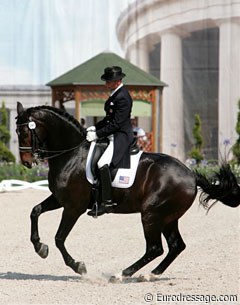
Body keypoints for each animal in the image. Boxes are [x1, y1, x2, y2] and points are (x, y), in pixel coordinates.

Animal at [15, 102, 239, 278]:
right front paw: (40, 247)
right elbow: (35, 211)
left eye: (25, 132)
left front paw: (79, 267)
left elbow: (59, 238)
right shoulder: (60, 199)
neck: (71, 154)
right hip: (167, 217)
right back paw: (150, 275)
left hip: (151, 214)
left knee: (155, 248)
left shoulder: (74, 207)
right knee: (176, 246)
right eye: (18, 132)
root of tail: (191, 175)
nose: (26, 162)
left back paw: (122, 274)